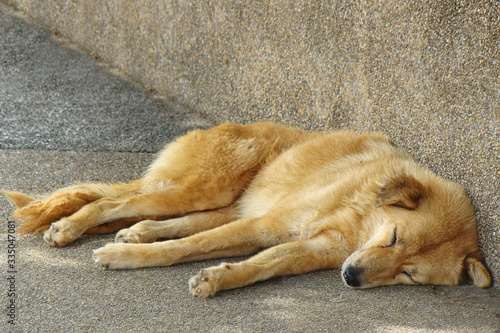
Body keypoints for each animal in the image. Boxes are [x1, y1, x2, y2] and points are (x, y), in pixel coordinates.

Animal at [1, 122, 490, 296]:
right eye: (393, 239)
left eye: (409, 274)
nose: (351, 278)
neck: (359, 213)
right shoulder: (268, 225)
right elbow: (187, 249)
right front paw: (126, 260)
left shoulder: (306, 248)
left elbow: (258, 266)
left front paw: (218, 279)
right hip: (202, 190)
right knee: (112, 201)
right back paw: (71, 228)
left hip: (224, 207)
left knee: (165, 221)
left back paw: (137, 232)